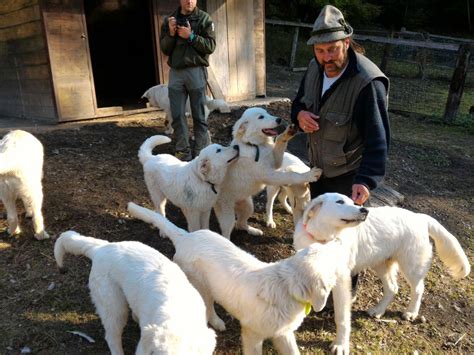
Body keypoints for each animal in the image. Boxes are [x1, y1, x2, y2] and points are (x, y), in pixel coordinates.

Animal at [128, 203, 350, 355]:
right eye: (330, 256)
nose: (339, 241)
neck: (286, 287)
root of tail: (186, 236)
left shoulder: (282, 333)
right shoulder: (252, 335)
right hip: (201, 287)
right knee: (209, 307)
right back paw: (217, 322)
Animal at [214, 106, 322, 239]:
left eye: (267, 113)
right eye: (261, 117)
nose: (279, 119)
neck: (255, 145)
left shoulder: (275, 164)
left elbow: (279, 140)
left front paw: (288, 132)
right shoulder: (268, 174)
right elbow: (292, 175)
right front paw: (310, 175)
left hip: (248, 206)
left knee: (240, 223)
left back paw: (254, 231)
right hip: (229, 213)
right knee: (229, 229)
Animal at [292, 193, 470, 354]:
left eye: (353, 201)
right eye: (340, 202)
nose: (364, 210)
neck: (324, 241)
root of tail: (420, 217)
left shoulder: (342, 282)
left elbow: (341, 318)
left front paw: (340, 345)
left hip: (411, 267)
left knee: (418, 289)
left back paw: (411, 312)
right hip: (381, 265)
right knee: (393, 288)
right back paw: (378, 311)